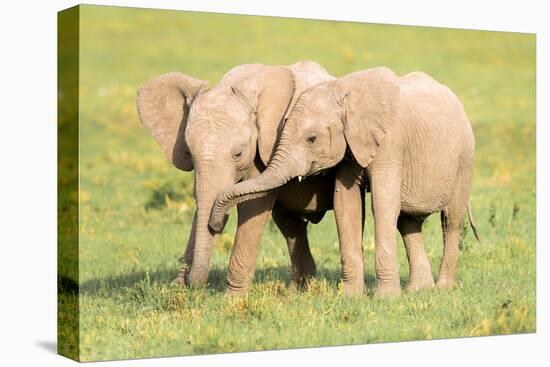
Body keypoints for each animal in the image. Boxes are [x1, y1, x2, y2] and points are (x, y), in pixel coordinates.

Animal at [138, 61, 336, 294]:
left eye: (238, 154)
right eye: (189, 152)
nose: (216, 224)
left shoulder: (267, 145)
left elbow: (254, 205)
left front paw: (232, 297)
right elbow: (202, 202)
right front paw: (177, 288)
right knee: (289, 224)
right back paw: (296, 291)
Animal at [211, 67, 478, 300]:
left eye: (312, 139)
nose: (215, 225)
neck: (345, 92)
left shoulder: (390, 144)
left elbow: (383, 204)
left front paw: (385, 299)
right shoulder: (350, 147)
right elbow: (346, 204)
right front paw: (351, 297)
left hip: (464, 160)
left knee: (450, 221)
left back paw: (442, 288)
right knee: (408, 222)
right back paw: (419, 290)